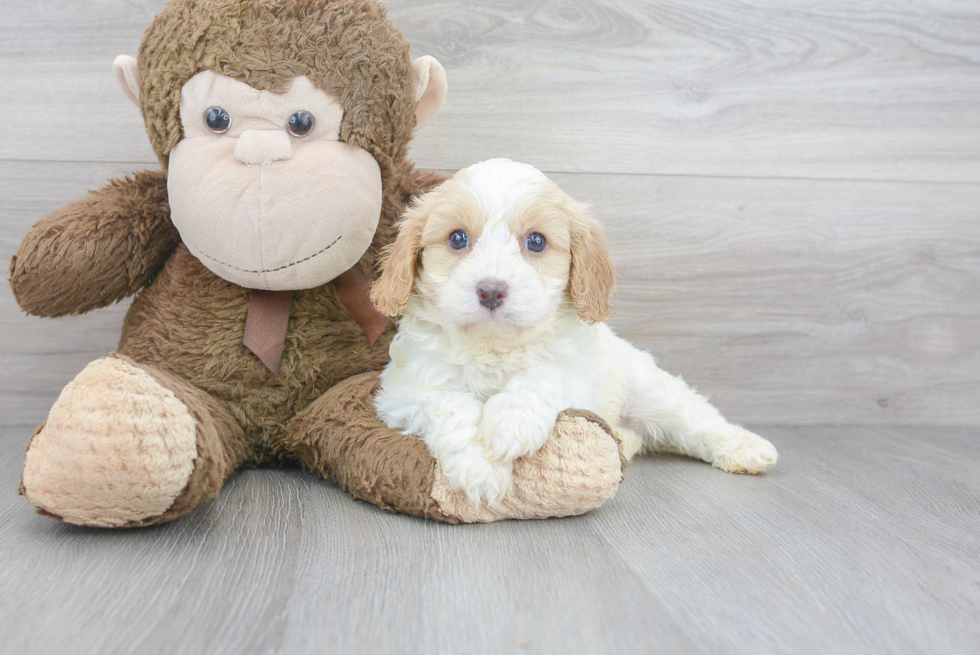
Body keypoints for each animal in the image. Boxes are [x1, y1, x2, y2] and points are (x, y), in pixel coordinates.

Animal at [372, 160, 776, 508]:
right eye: (457, 239)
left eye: (536, 241)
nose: (491, 290)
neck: (495, 346)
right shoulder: (401, 391)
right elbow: (448, 401)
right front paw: (478, 464)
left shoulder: (578, 378)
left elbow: (542, 378)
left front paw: (509, 423)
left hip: (652, 390)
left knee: (696, 420)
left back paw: (744, 447)